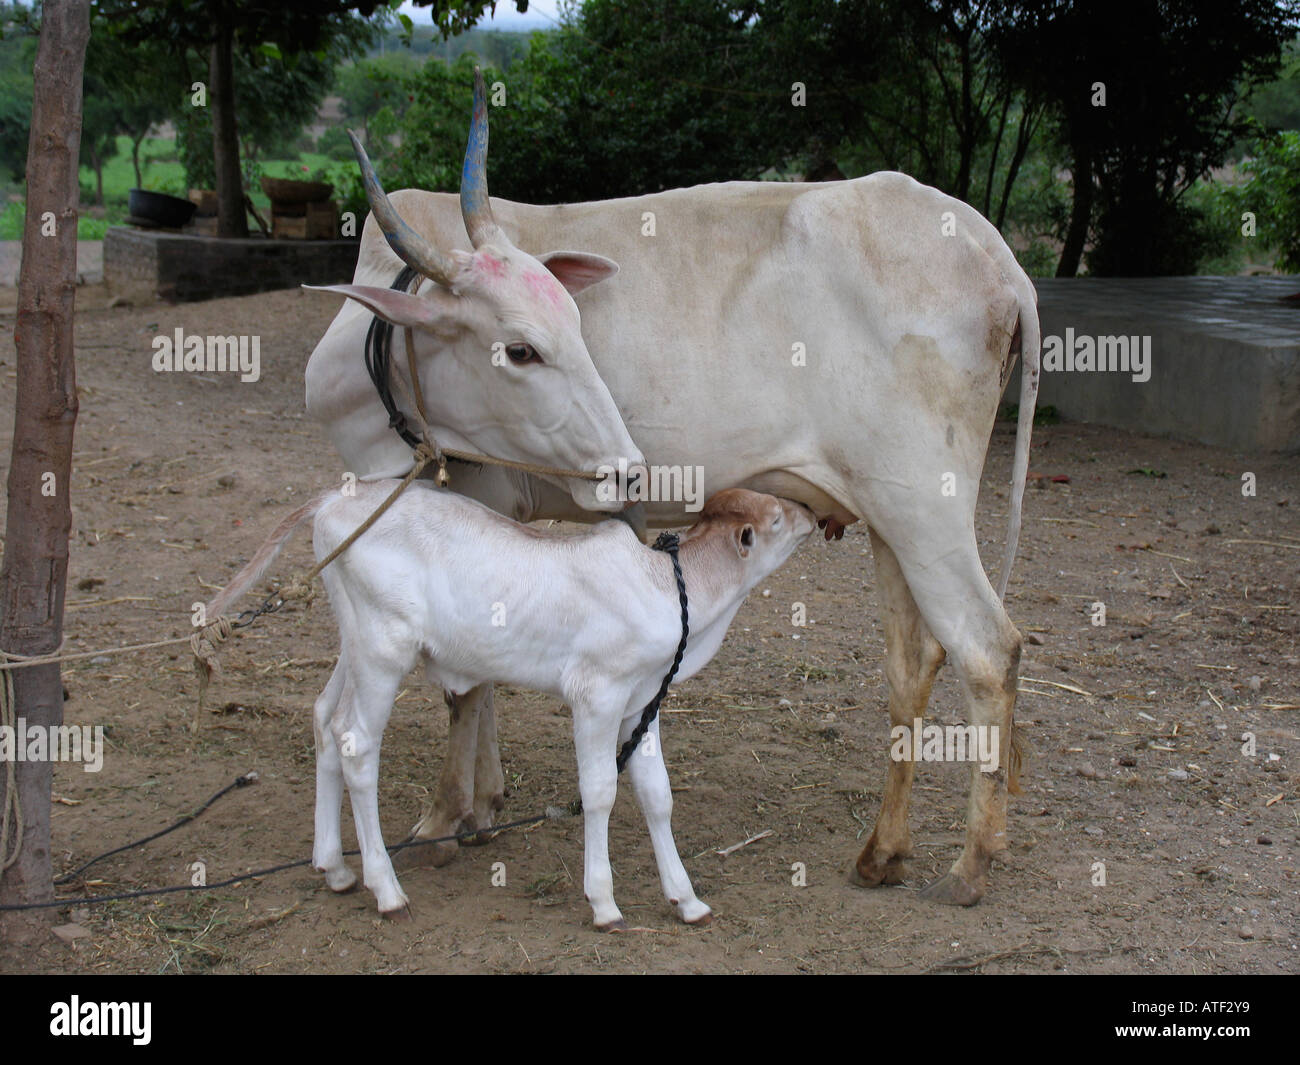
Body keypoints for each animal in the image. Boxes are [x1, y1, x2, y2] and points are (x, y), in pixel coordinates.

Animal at [209, 483, 816, 925]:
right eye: (776, 518)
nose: (810, 510)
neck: (667, 587)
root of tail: (336, 501)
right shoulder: (596, 696)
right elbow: (600, 792)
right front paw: (604, 904)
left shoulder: (641, 703)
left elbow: (657, 796)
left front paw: (687, 900)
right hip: (383, 652)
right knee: (356, 745)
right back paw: (387, 890)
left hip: (355, 646)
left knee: (323, 719)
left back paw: (334, 868)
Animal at [301, 75, 1034, 910]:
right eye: (519, 349)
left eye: (565, 324)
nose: (627, 468)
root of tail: (996, 255)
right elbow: (477, 664)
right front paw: (482, 804)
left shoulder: (472, 498)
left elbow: (465, 683)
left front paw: (444, 816)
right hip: (890, 515)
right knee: (914, 661)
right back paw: (883, 850)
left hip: (924, 504)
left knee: (988, 651)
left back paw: (971, 862)